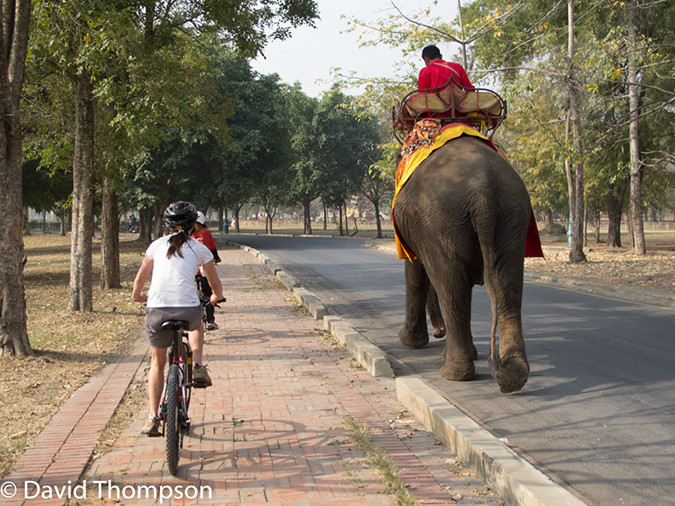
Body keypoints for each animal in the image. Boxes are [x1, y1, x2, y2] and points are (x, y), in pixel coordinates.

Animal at [396, 135, 532, 396]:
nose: (438, 333)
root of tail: (483, 191)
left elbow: (416, 272)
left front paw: (407, 342)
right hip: (513, 215)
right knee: (507, 286)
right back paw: (513, 375)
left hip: (440, 221)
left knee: (451, 288)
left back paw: (454, 374)